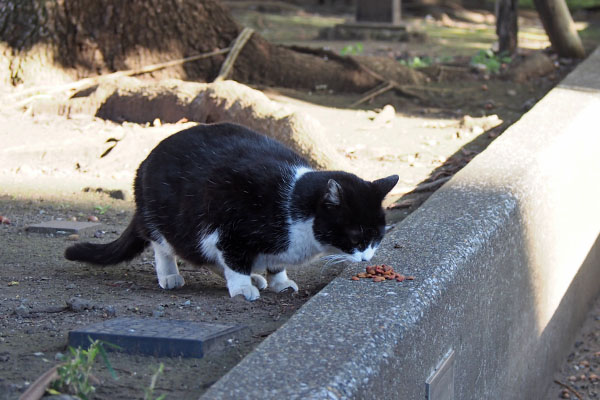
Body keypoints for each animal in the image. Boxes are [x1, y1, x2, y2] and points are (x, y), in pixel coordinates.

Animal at [67, 122, 398, 300]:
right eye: (355, 235)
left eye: (378, 236)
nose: (367, 258)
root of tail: (146, 159)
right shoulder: (230, 226)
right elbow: (235, 258)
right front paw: (241, 288)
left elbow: (275, 264)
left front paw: (278, 281)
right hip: (167, 218)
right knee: (164, 246)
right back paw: (171, 276)